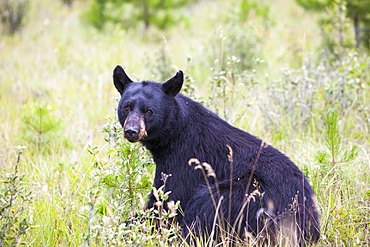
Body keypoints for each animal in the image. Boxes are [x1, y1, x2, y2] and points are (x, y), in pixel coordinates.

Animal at [112, 65, 318, 245]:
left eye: (149, 111)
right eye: (126, 107)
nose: (131, 131)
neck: (173, 134)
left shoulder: (185, 160)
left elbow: (167, 200)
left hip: (248, 196)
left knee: (205, 205)